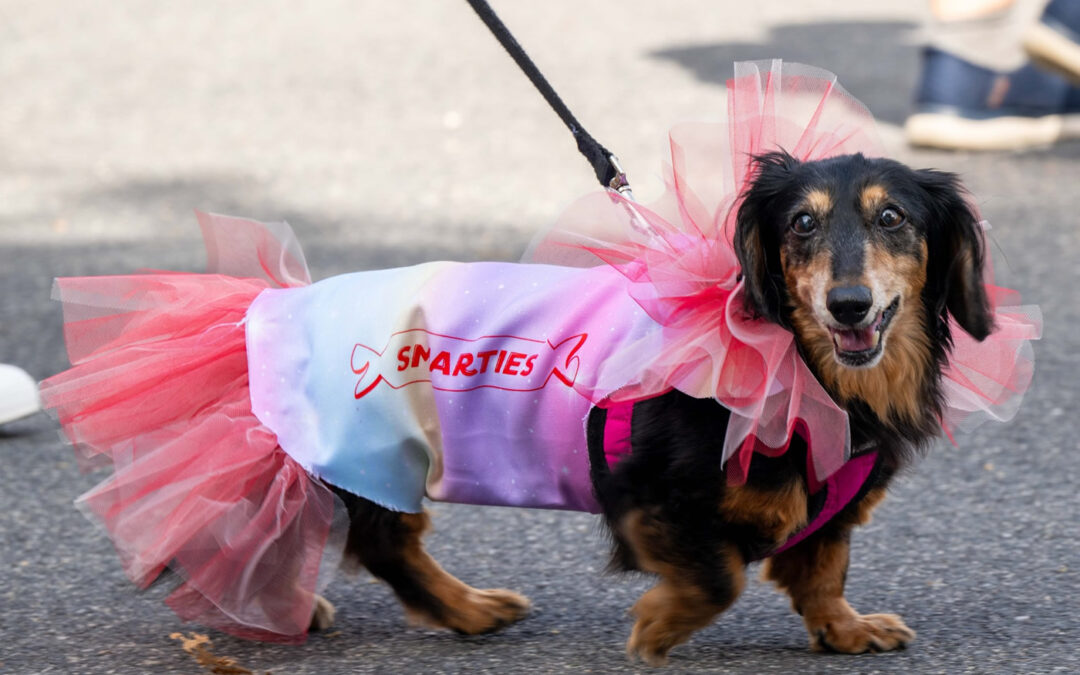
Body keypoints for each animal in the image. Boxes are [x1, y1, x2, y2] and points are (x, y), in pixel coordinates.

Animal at [317, 152, 989, 665]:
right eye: (802, 222)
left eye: (892, 216)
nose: (848, 304)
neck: (807, 371)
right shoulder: (648, 494)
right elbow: (720, 579)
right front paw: (659, 626)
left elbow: (823, 567)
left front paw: (845, 627)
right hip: (374, 466)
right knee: (385, 543)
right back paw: (462, 608)